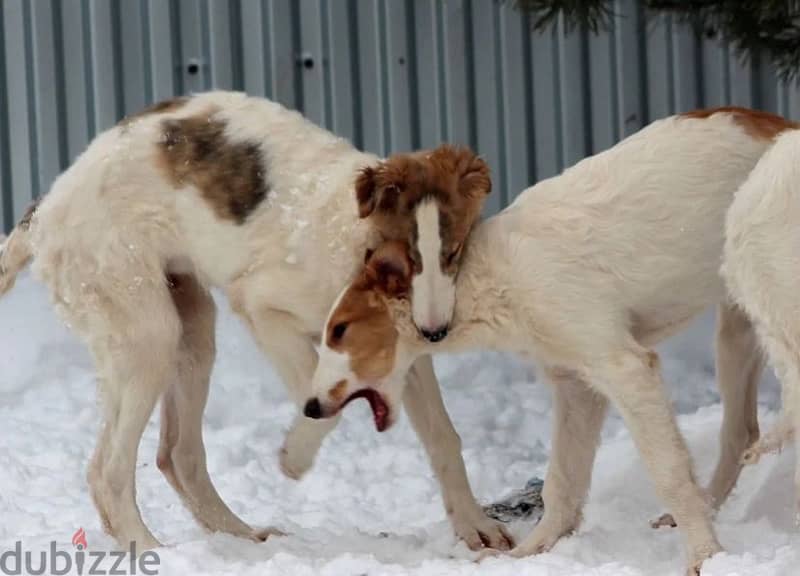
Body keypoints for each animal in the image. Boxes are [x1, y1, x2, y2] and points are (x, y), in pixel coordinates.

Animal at [0, 92, 512, 552]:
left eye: (452, 253)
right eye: (406, 258)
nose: (435, 333)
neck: (351, 245)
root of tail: (41, 214)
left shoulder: (403, 353)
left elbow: (444, 436)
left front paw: (475, 527)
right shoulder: (263, 309)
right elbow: (317, 403)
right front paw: (294, 459)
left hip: (191, 327)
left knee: (177, 455)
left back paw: (240, 537)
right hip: (147, 333)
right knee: (106, 470)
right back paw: (148, 549)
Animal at [304, 107, 796, 572]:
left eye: (339, 330)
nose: (309, 407)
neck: (486, 281)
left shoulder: (625, 368)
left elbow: (669, 472)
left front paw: (705, 556)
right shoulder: (576, 385)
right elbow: (563, 482)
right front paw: (531, 552)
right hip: (737, 329)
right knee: (741, 431)